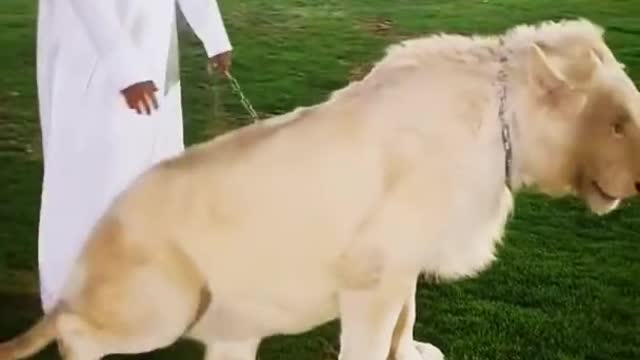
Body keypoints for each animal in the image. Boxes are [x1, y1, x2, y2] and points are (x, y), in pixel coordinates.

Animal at [1, 17, 640, 360]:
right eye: (616, 122)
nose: (636, 178)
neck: (501, 124)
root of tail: (90, 250)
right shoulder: (371, 272)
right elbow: (372, 337)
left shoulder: (404, 262)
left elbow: (406, 320)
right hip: (165, 303)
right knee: (74, 329)